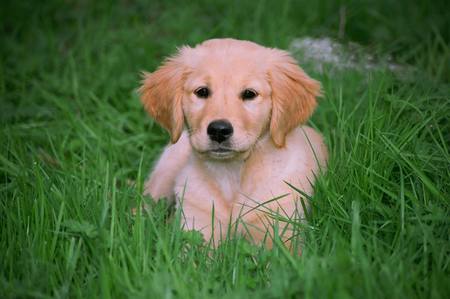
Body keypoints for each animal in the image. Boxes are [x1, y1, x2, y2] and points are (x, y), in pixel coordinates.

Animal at [138, 38, 326, 250]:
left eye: (249, 94)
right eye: (202, 92)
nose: (219, 130)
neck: (230, 174)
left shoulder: (282, 230)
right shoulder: (196, 226)